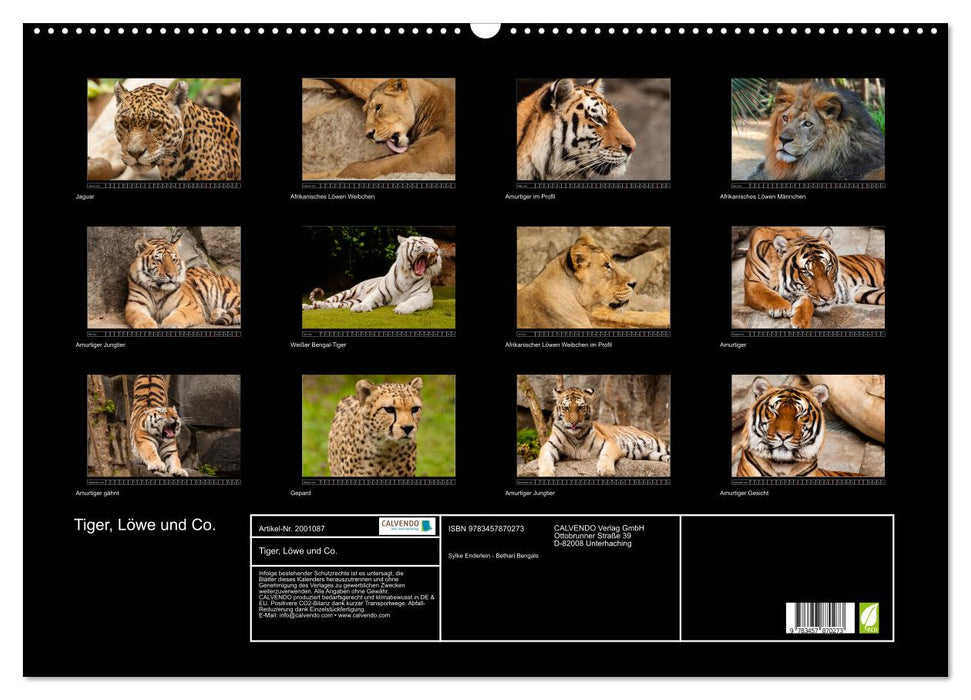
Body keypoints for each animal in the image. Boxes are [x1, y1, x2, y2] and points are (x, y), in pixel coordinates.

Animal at [302, 235, 442, 314]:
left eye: (434, 243)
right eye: (423, 242)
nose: (437, 248)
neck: (409, 276)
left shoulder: (425, 296)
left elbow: (413, 301)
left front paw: (402, 308)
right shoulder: (380, 292)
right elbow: (370, 298)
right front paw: (361, 307)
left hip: (349, 301)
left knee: (333, 305)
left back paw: (318, 306)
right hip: (347, 292)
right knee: (326, 301)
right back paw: (308, 305)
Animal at [536, 381, 670, 477]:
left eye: (580, 407)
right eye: (566, 408)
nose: (573, 423)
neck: (575, 436)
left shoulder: (610, 443)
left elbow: (606, 454)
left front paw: (605, 470)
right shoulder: (549, 446)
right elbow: (544, 459)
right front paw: (546, 473)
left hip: (662, 446)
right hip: (654, 454)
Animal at [744, 227, 885, 329]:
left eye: (828, 268)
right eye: (807, 273)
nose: (828, 298)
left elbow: (807, 303)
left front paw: (801, 322)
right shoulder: (752, 283)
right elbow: (765, 293)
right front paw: (781, 307)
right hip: (866, 292)